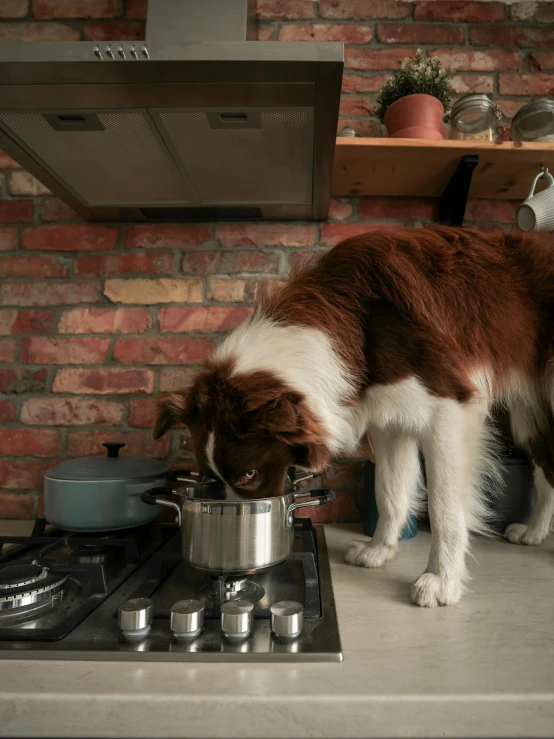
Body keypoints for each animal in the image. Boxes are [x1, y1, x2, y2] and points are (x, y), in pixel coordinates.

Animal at [153, 225, 552, 608]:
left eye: (250, 474)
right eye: (211, 478)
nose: (243, 526)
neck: (356, 322)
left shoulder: (449, 409)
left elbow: (444, 508)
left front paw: (441, 581)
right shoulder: (390, 420)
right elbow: (389, 491)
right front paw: (379, 551)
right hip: (530, 414)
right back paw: (533, 532)